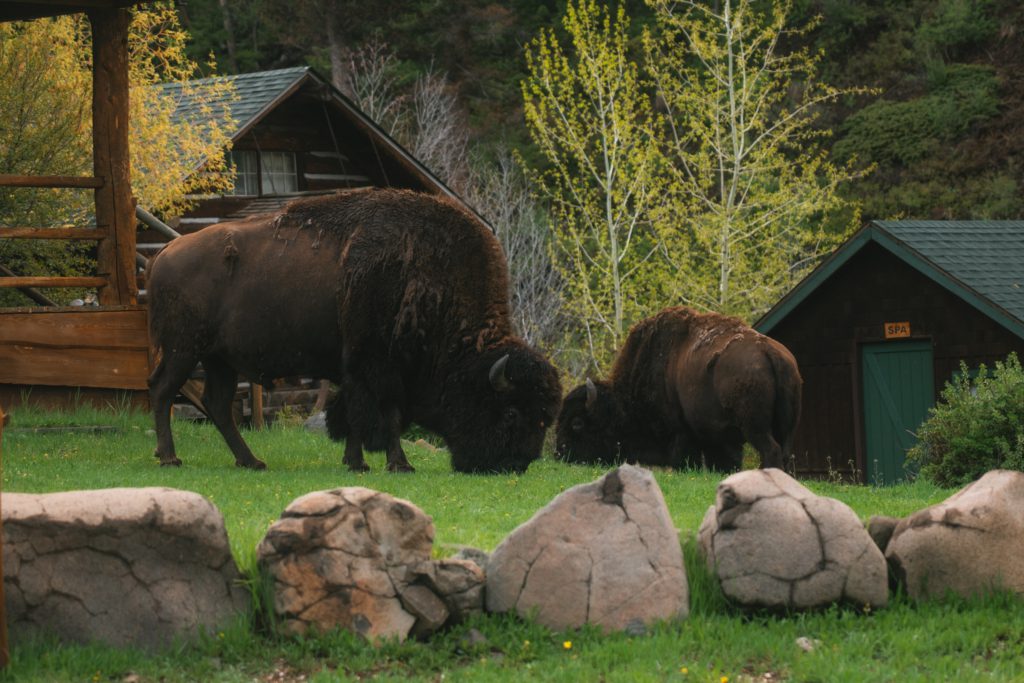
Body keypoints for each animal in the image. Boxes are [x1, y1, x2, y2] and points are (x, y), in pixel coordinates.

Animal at [146, 187, 562, 473]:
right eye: (511, 413)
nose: (515, 464)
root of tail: (164, 253)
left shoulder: (361, 368)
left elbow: (355, 415)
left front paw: (356, 461)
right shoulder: (378, 364)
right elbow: (382, 413)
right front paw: (395, 464)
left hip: (220, 359)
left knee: (217, 404)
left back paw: (252, 461)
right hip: (184, 349)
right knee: (163, 390)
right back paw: (170, 458)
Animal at [555, 306, 801, 471]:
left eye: (577, 423)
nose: (560, 453)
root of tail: (771, 352)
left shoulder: (681, 433)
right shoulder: (719, 439)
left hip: (755, 427)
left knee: (771, 450)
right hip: (785, 428)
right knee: (786, 453)